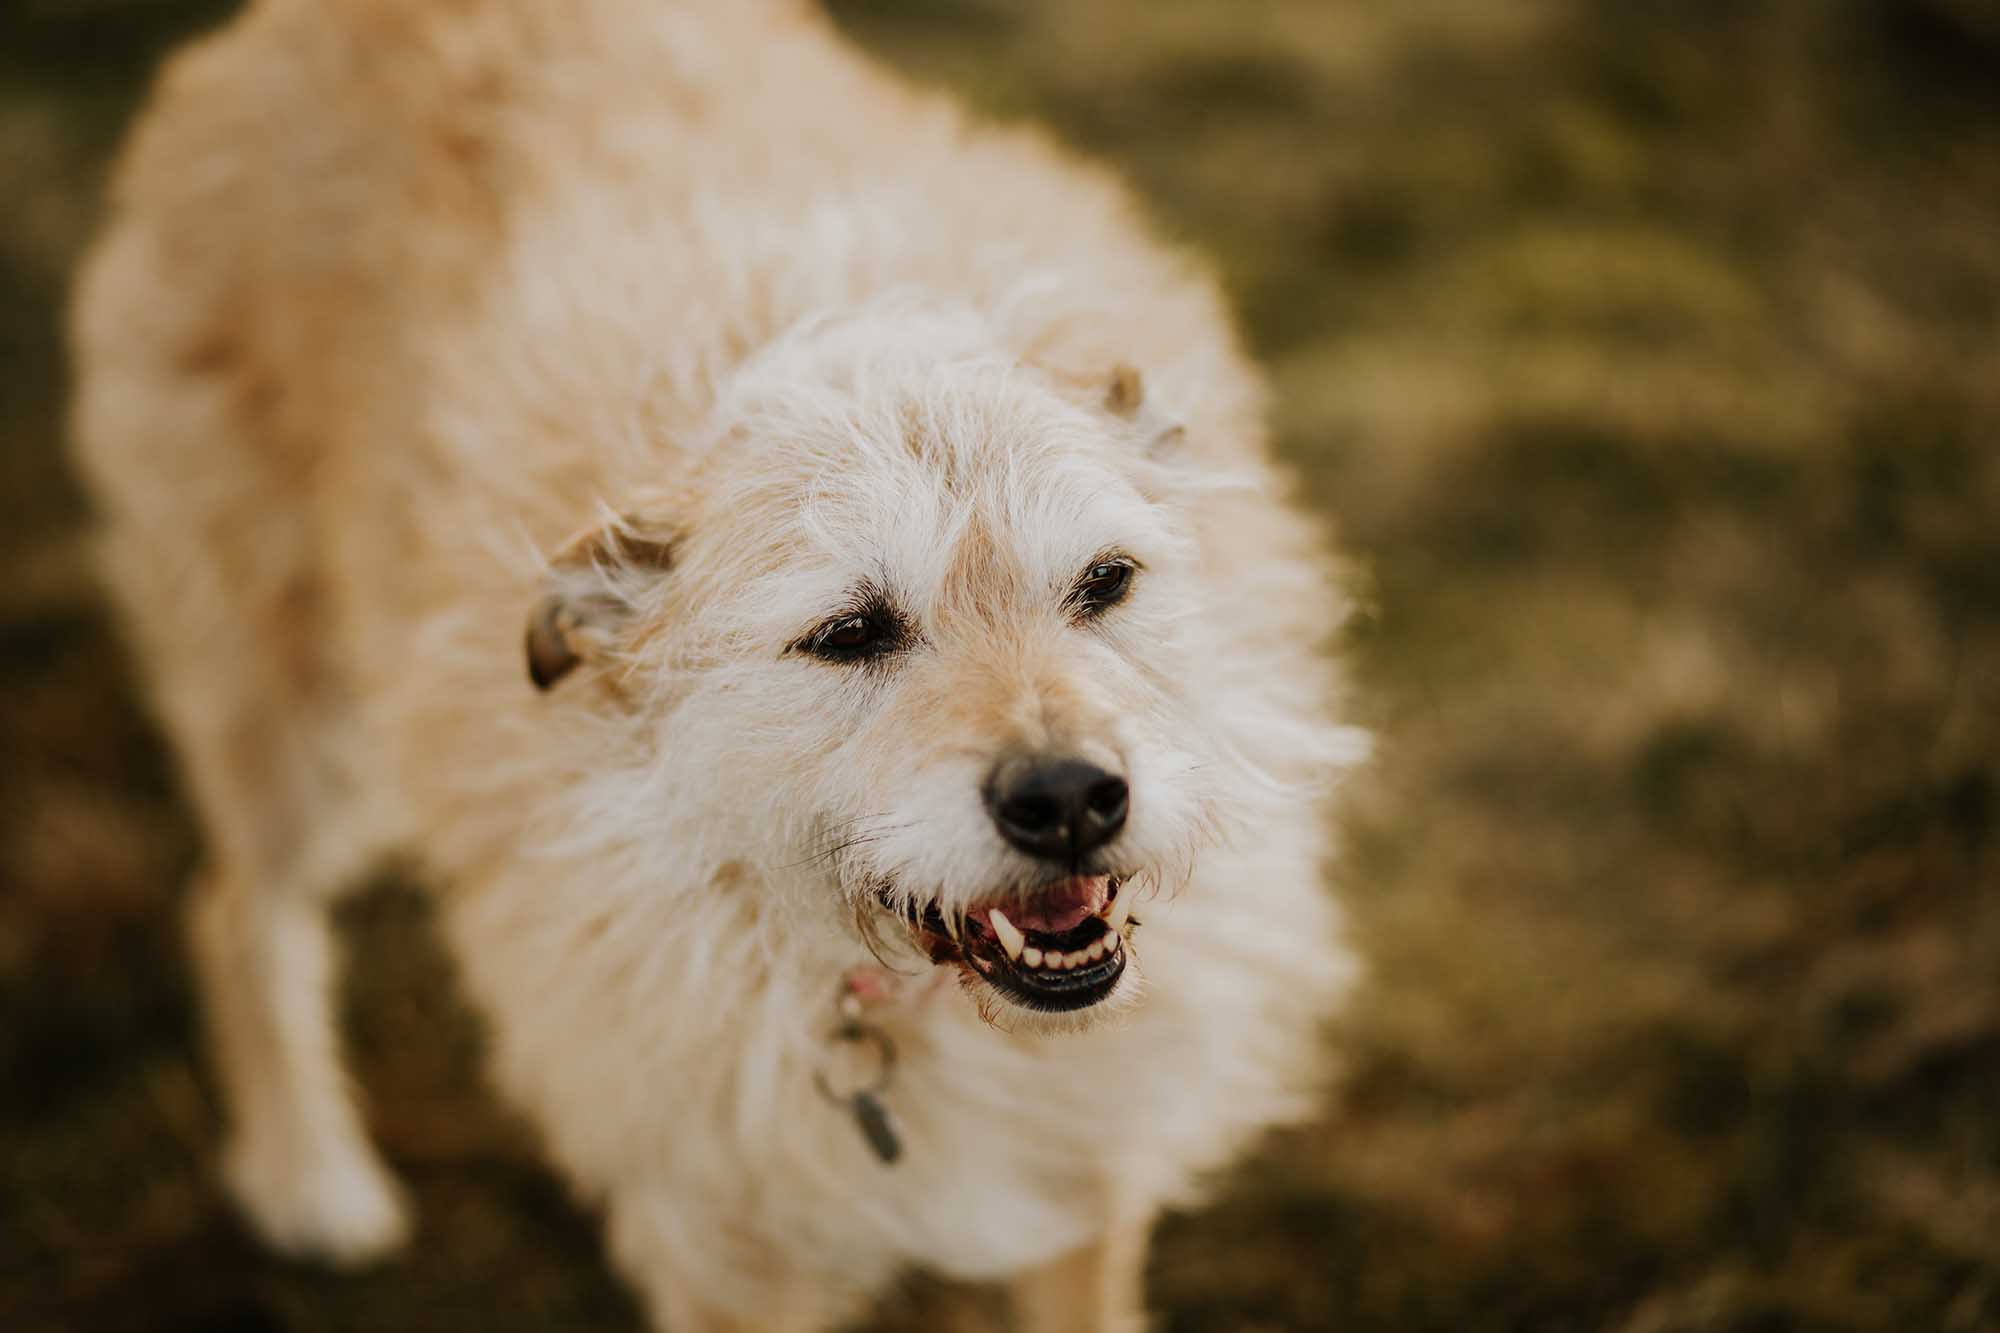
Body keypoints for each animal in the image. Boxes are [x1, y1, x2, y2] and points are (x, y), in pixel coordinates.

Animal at [70, 2, 1368, 1328]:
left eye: (1105, 580)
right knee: (234, 907)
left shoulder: (1084, 1168)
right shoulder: (721, 1246)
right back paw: (308, 1176)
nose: (1068, 799)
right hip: (281, 696)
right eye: (848, 632)